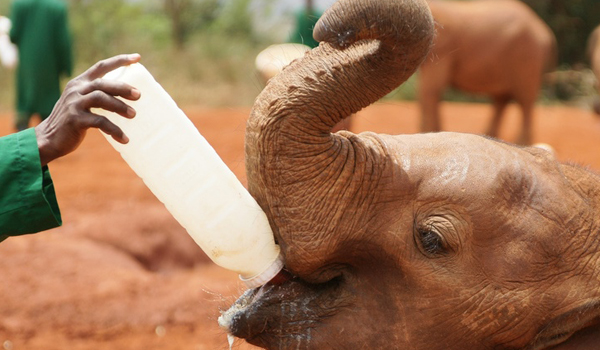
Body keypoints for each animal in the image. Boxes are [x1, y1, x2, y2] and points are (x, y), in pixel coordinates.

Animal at [420, 0, 556, 145]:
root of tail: (548, 33)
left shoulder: (443, 49)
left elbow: (431, 89)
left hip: (528, 57)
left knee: (525, 100)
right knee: (502, 99)